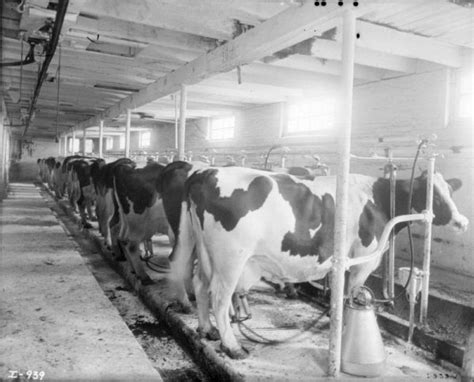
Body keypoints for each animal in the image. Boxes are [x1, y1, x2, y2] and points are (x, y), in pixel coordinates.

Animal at [169, 166, 466, 358]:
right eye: (433, 194)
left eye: (450, 191)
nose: (462, 222)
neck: (379, 199)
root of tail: (205, 172)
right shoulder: (363, 259)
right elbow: (353, 293)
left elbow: (342, 294)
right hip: (231, 258)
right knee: (219, 297)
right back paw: (232, 346)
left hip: (203, 249)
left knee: (200, 284)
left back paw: (207, 330)